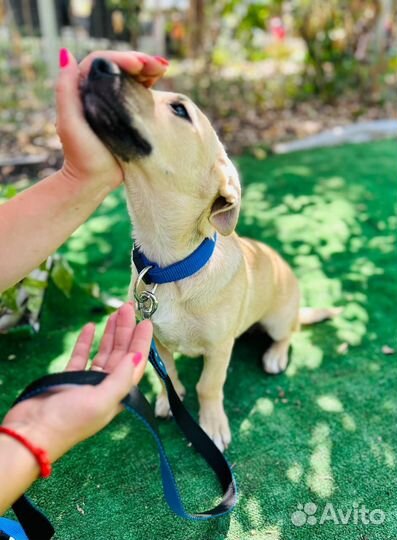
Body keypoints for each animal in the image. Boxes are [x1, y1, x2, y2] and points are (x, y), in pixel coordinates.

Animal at [83, 58, 338, 452]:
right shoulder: (156, 339)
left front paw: (212, 425)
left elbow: (208, 386)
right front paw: (167, 399)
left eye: (179, 109)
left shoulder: (218, 350)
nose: (99, 63)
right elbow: (169, 374)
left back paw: (276, 355)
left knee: (289, 333)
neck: (169, 269)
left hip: (279, 319)